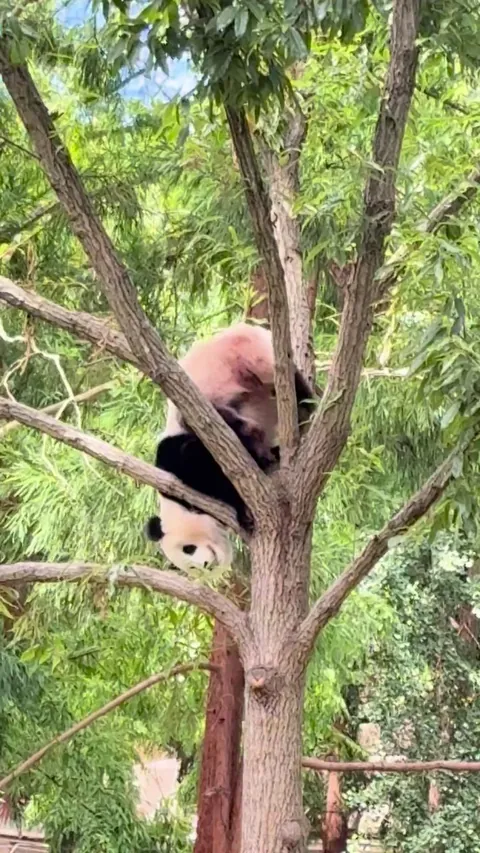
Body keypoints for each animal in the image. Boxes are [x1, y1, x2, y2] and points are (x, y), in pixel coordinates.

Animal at [145, 322, 315, 572]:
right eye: (191, 568)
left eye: (189, 548)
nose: (206, 566)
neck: (176, 502)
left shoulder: (178, 455)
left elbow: (199, 460)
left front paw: (243, 510)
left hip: (243, 357)